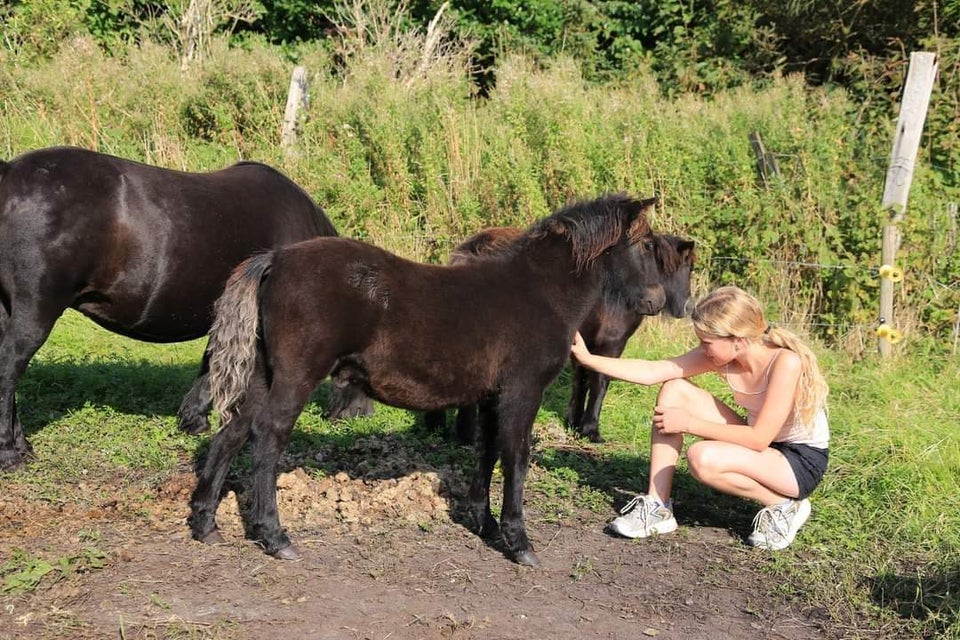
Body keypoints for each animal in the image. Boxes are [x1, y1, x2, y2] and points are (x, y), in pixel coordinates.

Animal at [0, 145, 338, 468]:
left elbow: (210, 363)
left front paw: (192, 418)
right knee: (9, 368)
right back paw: (10, 454)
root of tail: (10, 172)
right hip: (36, 311)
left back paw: (22, 446)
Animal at [191, 191, 656, 564]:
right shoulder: (523, 391)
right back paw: (275, 536)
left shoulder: (492, 395)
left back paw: (204, 522)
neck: (539, 293)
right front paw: (519, 541)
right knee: (268, 436)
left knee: (234, 431)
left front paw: (484, 522)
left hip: (262, 374)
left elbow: (488, 450)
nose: (653, 301)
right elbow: (516, 456)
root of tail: (276, 259)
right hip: (296, 376)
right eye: (645, 244)